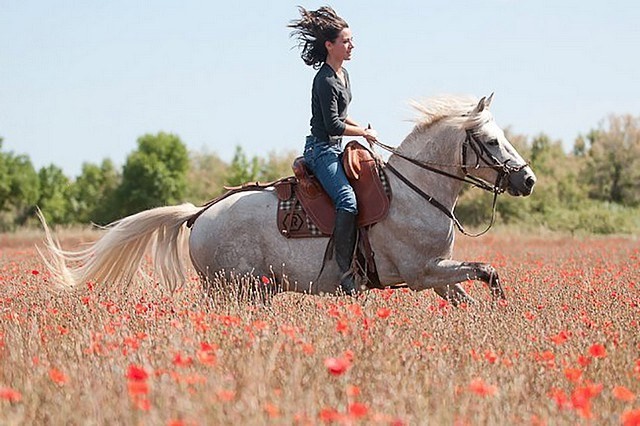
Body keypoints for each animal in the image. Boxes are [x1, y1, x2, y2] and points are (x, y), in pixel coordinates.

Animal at [38, 95, 536, 304]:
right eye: (492, 140)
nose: (528, 180)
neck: (416, 192)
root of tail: (200, 215)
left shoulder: (438, 273)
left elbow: (468, 295)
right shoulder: (421, 273)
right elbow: (486, 272)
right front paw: (503, 304)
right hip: (233, 291)